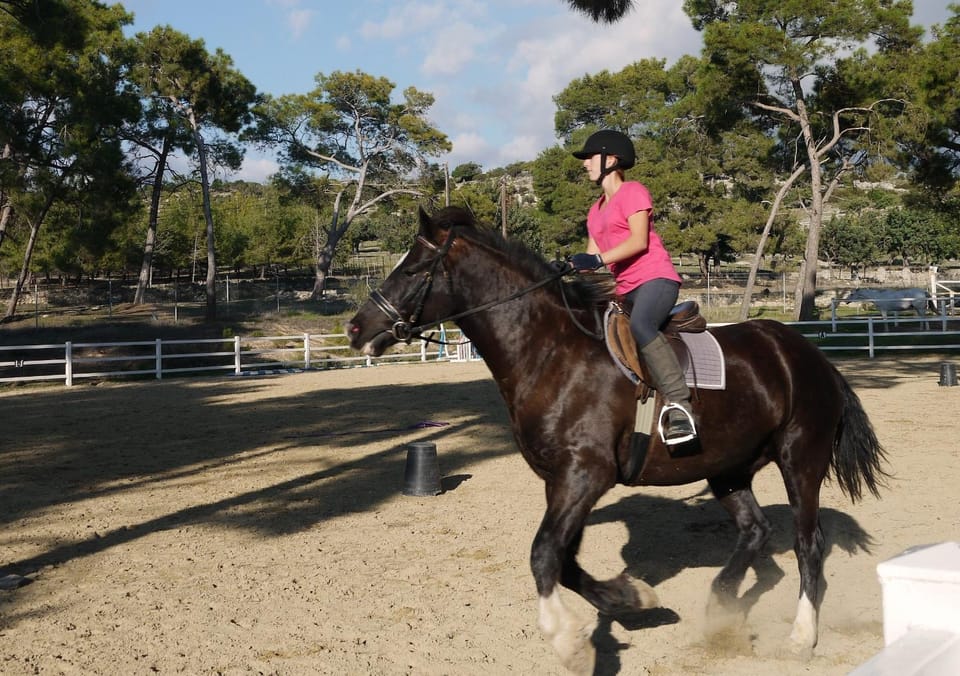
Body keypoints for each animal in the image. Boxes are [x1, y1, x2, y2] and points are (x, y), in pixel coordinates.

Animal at [347, 206, 886, 675]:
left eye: (414, 269)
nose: (355, 328)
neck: (551, 353)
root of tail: (807, 354)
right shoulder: (561, 481)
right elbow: (564, 561)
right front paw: (632, 599)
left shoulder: (586, 474)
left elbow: (543, 554)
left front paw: (569, 643)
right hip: (727, 468)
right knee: (755, 531)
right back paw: (720, 608)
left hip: (800, 462)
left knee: (807, 545)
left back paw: (801, 636)